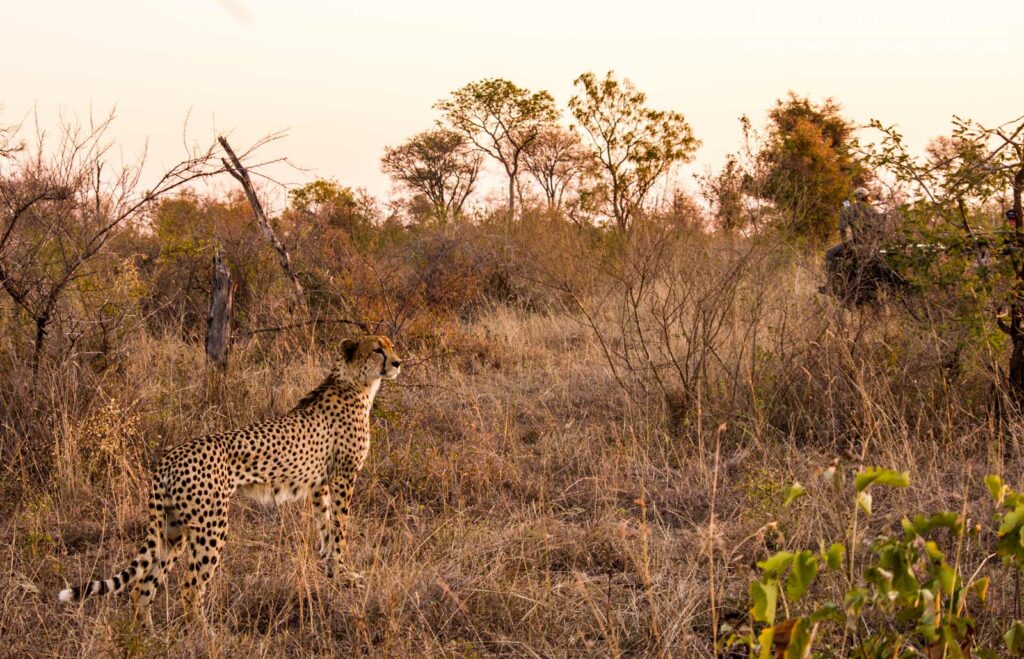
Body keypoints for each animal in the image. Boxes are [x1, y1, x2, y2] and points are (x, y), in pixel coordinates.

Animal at [58, 335, 401, 626]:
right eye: (377, 349)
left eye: (391, 346)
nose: (398, 362)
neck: (356, 383)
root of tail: (170, 456)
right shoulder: (343, 478)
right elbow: (340, 529)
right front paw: (345, 576)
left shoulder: (320, 484)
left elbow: (326, 528)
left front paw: (332, 571)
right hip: (211, 525)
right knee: (189, 586)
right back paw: (202, 634)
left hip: (171, 529)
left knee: (142, 585)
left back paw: (144, 635)